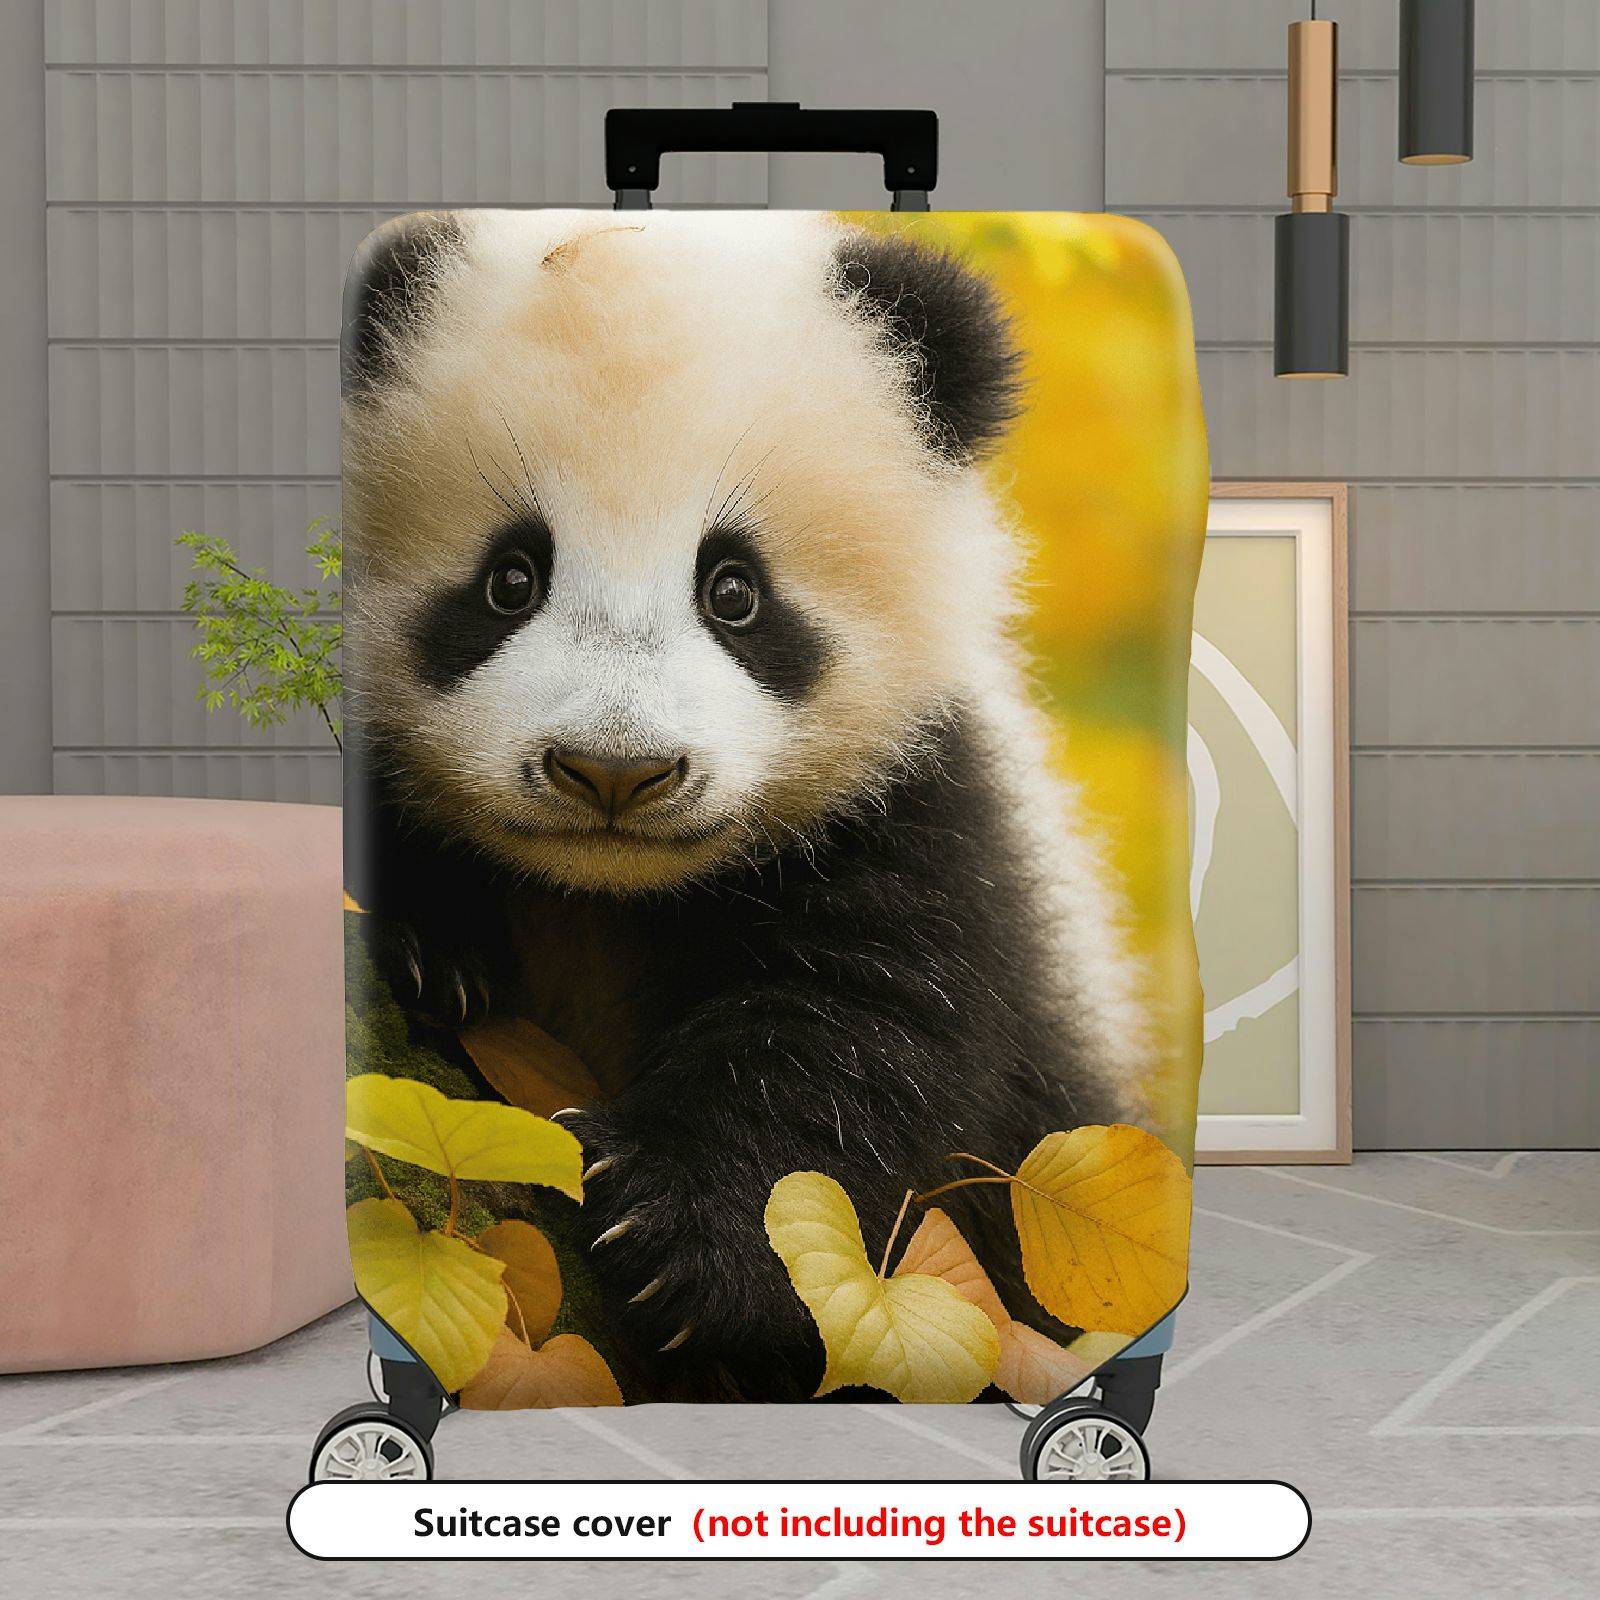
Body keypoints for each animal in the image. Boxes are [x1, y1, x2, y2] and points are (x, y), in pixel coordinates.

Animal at [342, 209, 1149, 1401]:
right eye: (509, 579)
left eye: (734, 591)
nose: (613, 772)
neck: (604, 893)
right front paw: (427, 949)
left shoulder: (919, 812)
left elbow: (857, 1035)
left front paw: (673, 1232)